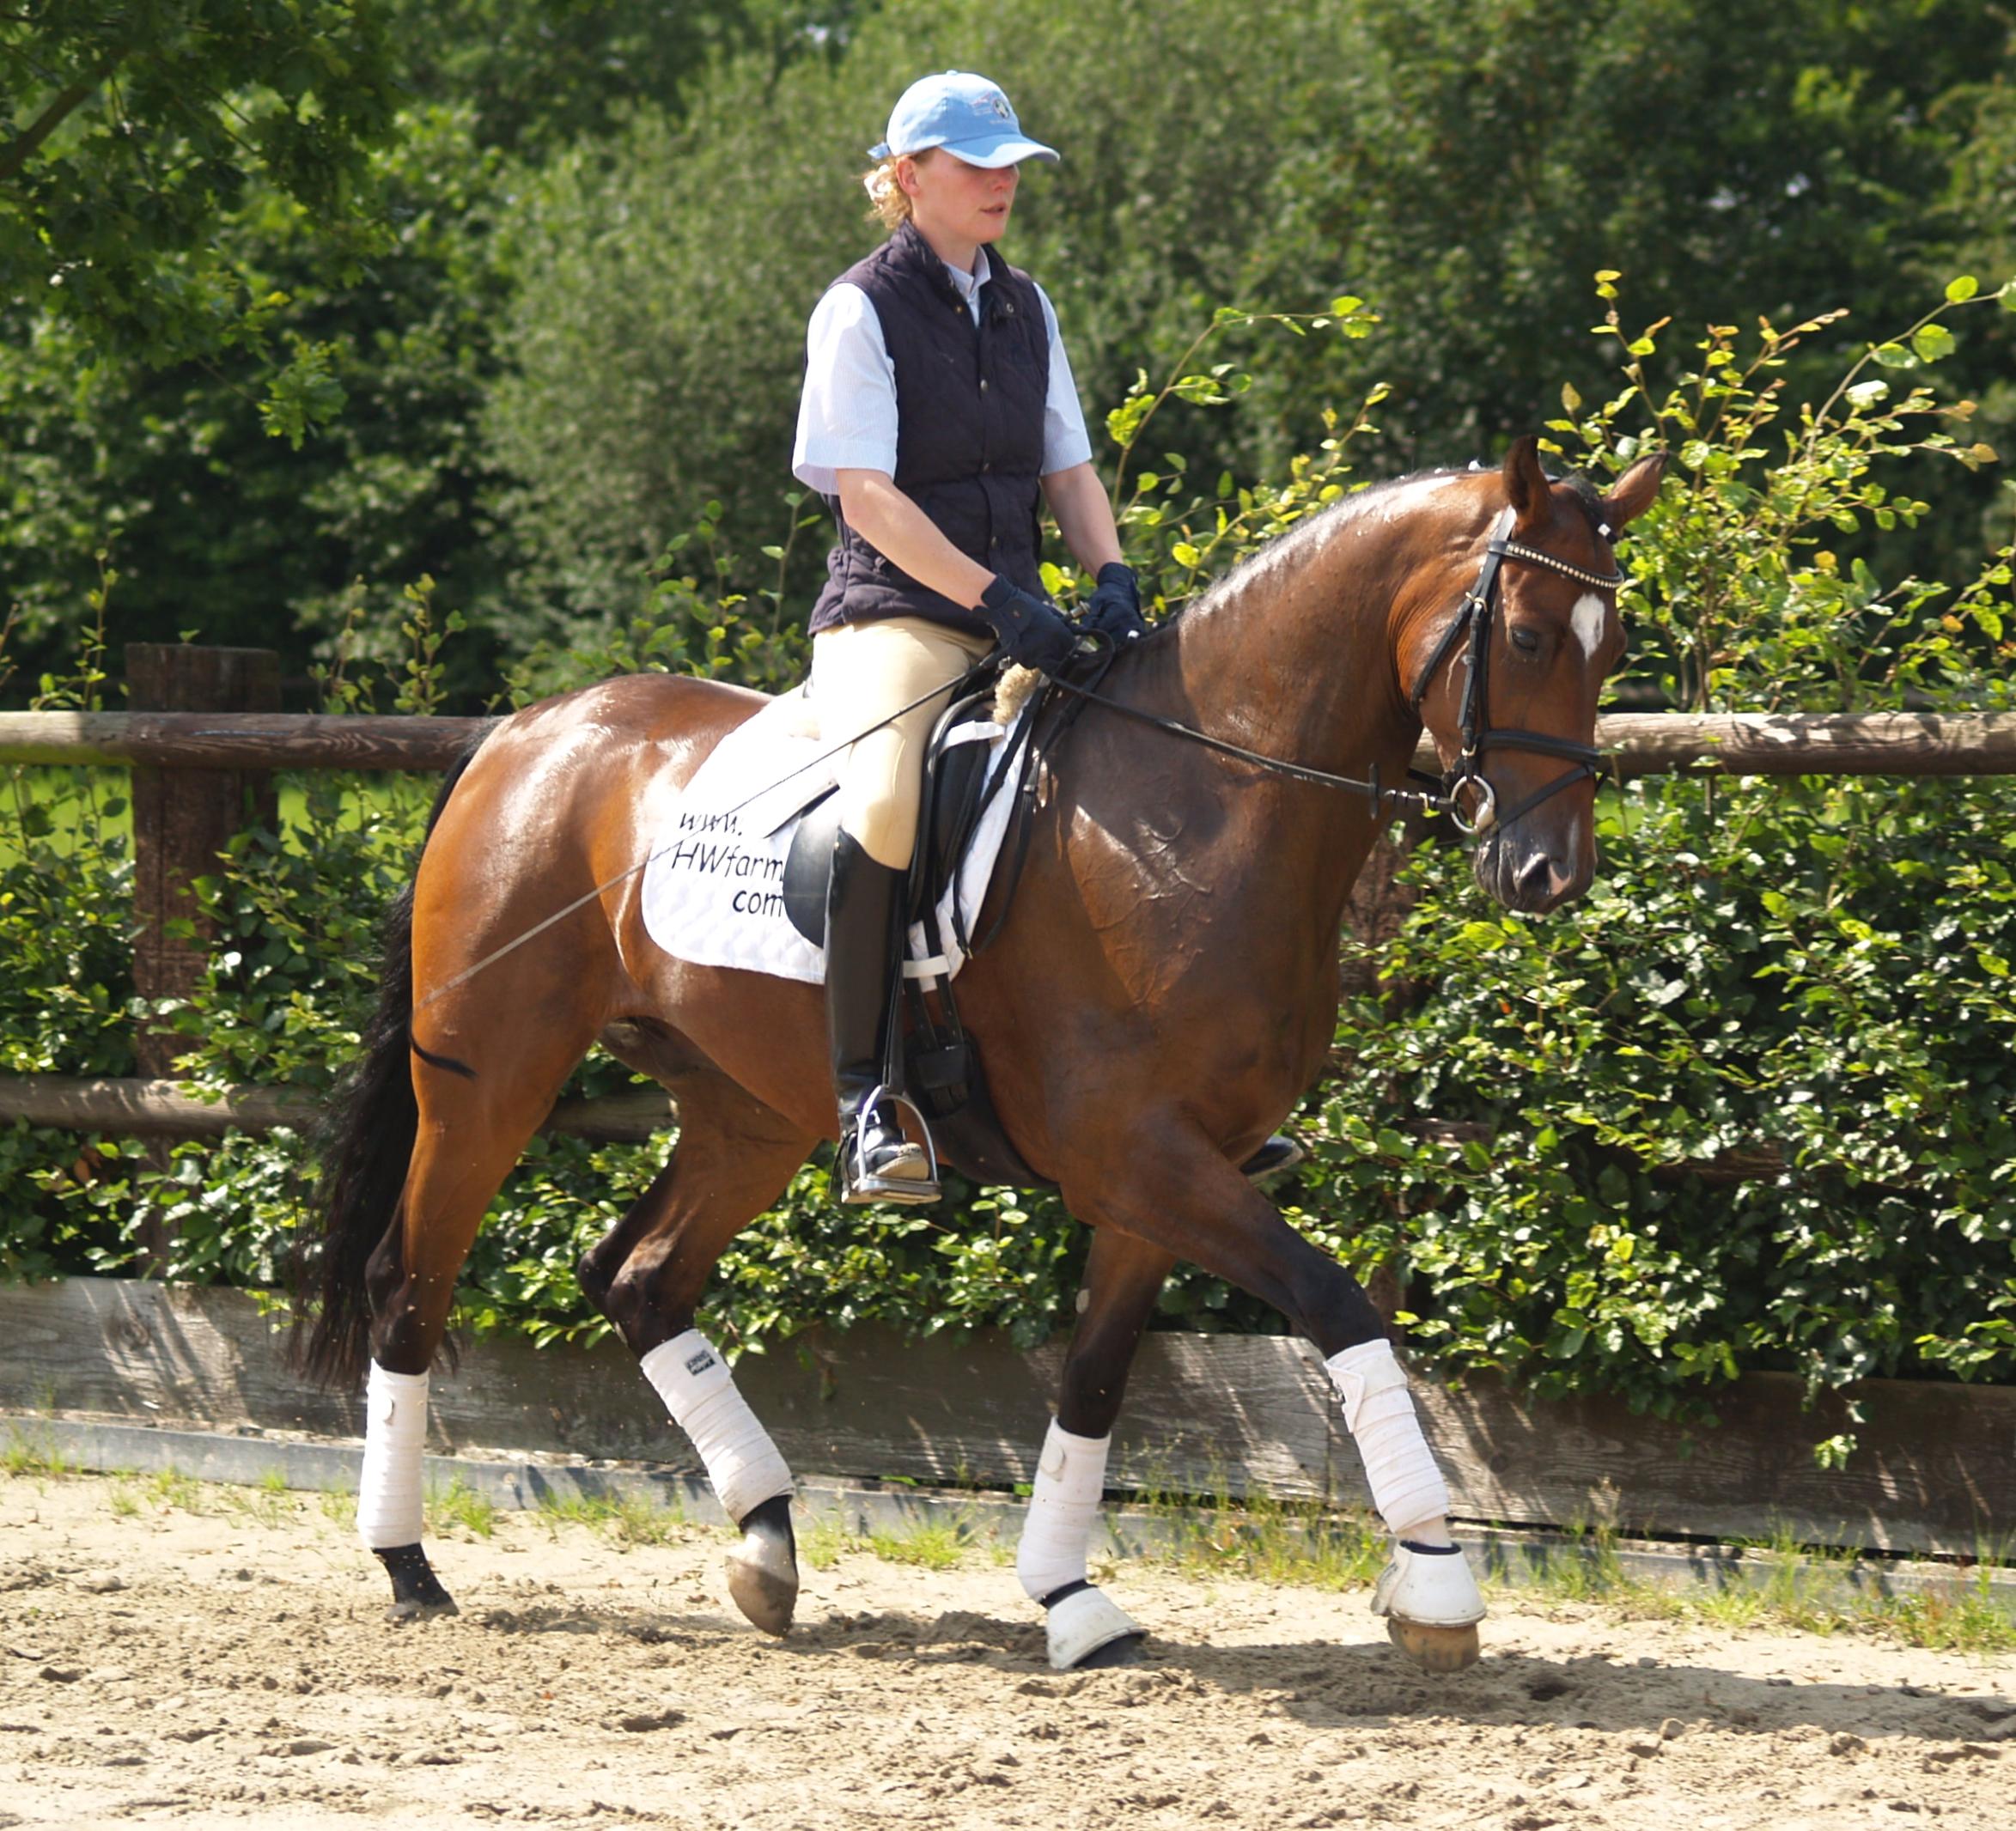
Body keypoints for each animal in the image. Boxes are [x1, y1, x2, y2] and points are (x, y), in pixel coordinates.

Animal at [296, 434, 1665, 1672]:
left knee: (637, 1278)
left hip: (747, 1111)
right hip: (488, 1082)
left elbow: (1094, 1383)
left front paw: (1069, 1599)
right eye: (1528, 638)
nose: (1547, 874)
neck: (1199, 813)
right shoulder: (1140, 1156)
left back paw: (764, 1544)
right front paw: (1432, 1580)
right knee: (408, 1282)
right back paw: (409, 1565)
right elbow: (1335, 1305)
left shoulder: (1166, 1176)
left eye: (1612, 649)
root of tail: (523, 731)